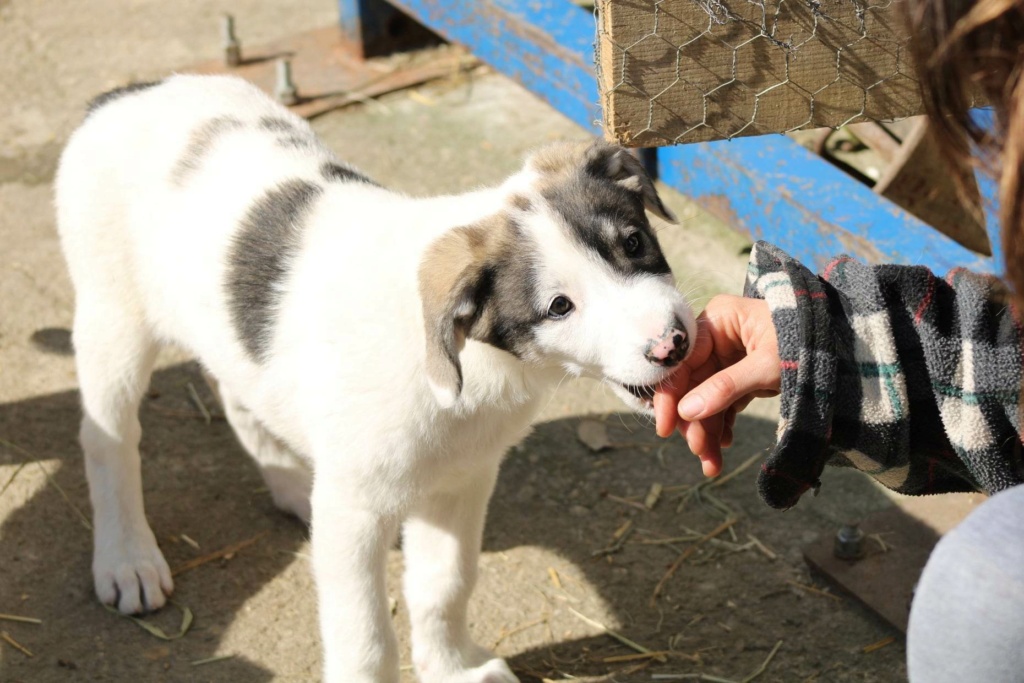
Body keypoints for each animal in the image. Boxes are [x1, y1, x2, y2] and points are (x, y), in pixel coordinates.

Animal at [56, 74, 696, 683]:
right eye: (560, 306)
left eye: (634, 242)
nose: (674, 343)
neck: (466, 374)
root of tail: (124, 95)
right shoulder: (356, 514)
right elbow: (364, 637)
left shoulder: (459, 484)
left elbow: (444, 587)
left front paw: (451, 668)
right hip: (114, 320)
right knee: (107, 439)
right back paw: (127, 557)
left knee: (240, 397)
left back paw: (291, 484)